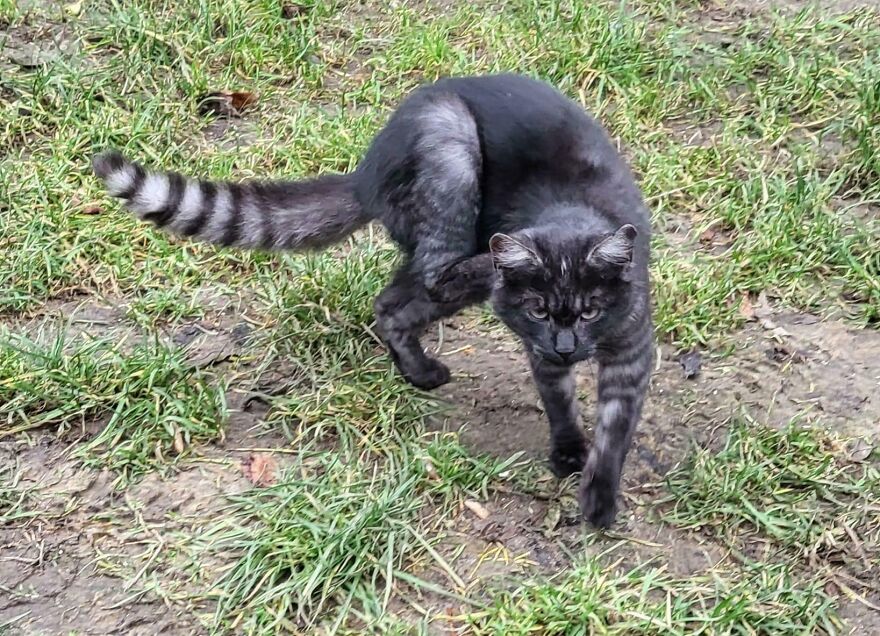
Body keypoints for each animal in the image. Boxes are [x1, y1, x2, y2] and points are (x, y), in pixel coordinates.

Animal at [91, 73, 652, 528]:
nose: (566, 346)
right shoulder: (540, 349)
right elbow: (560, 402)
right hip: (451, 153)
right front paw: (570, 454)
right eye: (538, 311)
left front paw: (599, 494)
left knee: (392, 302)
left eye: (591, 311)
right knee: (436, 276)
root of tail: (367, 172)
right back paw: (473, 285)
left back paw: (418, 370)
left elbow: (615, 427)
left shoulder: (631, 351)